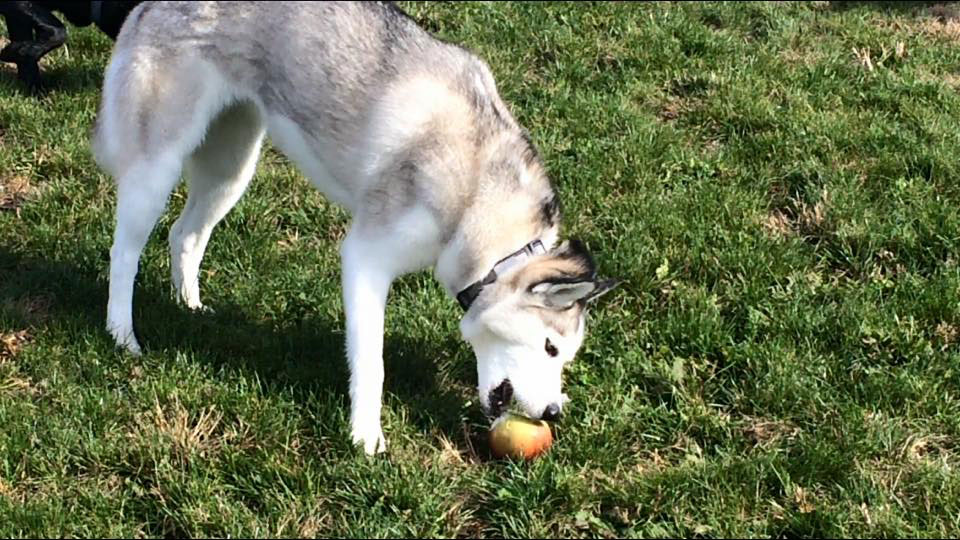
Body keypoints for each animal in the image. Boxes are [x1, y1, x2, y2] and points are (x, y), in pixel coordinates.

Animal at [94, 2, 620, 454]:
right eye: (550, 346)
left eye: (565, 358)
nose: (552, 413)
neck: (478, 196)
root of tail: (147, 4)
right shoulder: (365, 258)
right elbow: (372, 362)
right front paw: (365, 435)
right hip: (157, 168)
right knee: (124, 254)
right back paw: (122, 334)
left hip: (232, 167)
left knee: (184, 234)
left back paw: (189, 305)